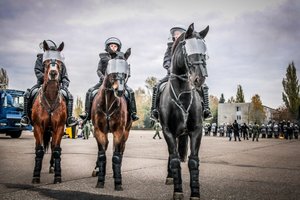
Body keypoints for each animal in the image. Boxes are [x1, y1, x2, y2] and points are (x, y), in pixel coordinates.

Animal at [31, 40, 67, 184]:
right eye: (45, 63)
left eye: (60, 63)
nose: (53, 73)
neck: (51, 97)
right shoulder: (38, 127)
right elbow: (39, 150)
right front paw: (36, 175)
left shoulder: (59, 127)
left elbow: (56, 150)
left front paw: (58, 176)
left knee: (52, 146)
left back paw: (52, 167)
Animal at [91, 48, 132, 191]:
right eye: (111, 66)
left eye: (126, 67)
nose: (119, 90)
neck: (108, 102)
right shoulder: (99, 131)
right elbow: (102, 155)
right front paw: (100, 181)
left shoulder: (119, 131)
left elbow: (116, 156)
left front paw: (118, 182)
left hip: (126, 132)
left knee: (120, 151)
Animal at [159, 22, 209, 199]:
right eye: (187, 47)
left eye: (204, 49)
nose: (200, 78)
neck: (182, 93)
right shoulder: (168, 131)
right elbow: (174, 159)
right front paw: (178, 190)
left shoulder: (196, 131)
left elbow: (193, 161)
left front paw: (195, 193)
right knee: (171, 155)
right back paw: (170, 177)